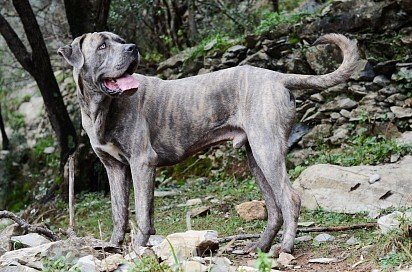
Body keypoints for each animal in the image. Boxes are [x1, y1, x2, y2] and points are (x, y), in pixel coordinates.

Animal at [58, 32, 358, 253]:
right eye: (103, 45)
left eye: (120, 41)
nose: (132, 48)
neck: (101, 108)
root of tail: (277, 76)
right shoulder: (114, 167)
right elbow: (118, 211)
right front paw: (112, 245)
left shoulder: (142, 162)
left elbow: (142, 211)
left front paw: (139, 247)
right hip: (255, 157)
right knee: (274, 208)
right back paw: (258, 246)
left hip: (267, 150)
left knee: (290, 199)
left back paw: (283, 248)